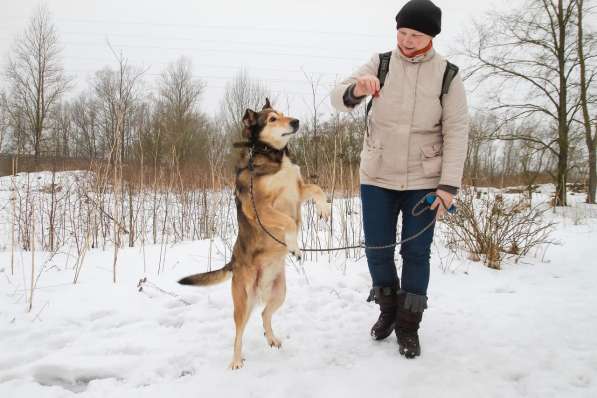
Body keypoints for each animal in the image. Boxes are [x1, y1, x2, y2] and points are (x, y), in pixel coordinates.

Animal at [177, 98, 330, 368]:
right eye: (272, 119)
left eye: (283, 114)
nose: (296, 122)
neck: (271, 155)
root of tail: (233, 262)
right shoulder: (260, 207)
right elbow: (289, 223)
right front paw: (294, 245)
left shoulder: (298, 191)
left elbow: (317, 189)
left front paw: (324, 209)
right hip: (244, 301)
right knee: (239, 333)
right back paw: (236, 361)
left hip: (279, 293)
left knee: (264, 314)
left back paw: (272, 338)